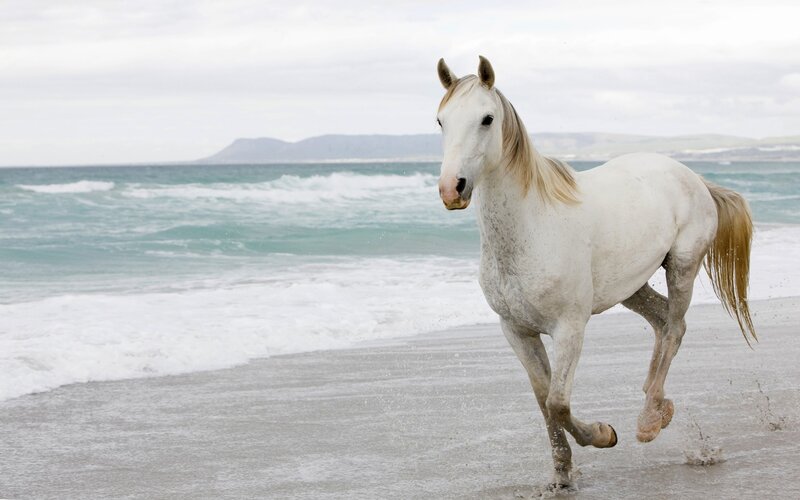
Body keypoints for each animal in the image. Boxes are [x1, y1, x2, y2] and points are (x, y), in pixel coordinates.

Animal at [434, 56, 756, 489]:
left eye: (486, 118)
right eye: (441, 120)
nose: (452, 188)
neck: (532, 227)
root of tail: (693, 177)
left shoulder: (570, 327)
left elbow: (557, 401)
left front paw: (604, 435)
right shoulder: (516, 331)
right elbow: (543, 401)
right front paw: (561, 474)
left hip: (683, 267)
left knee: (675, 327)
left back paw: (649, 420)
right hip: (631, 286)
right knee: (662, 321)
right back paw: (656, 404)